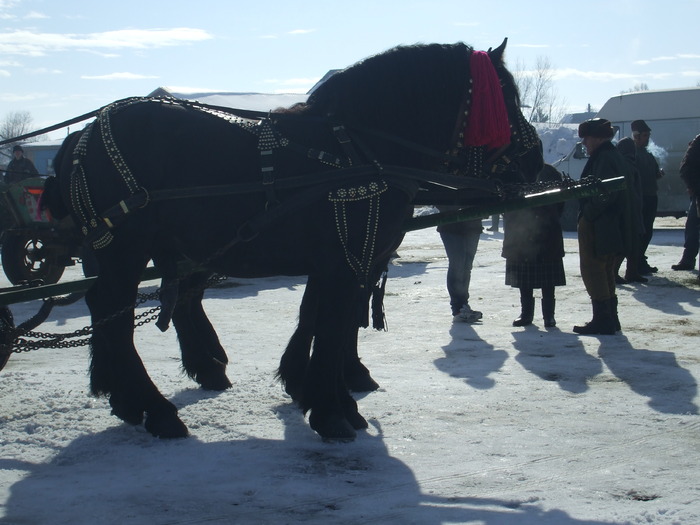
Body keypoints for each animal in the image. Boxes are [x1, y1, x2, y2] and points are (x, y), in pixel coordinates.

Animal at [45, 41, 540, 440]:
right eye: (506, 98)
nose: (535, 160)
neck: (359, 150)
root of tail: (82, 134)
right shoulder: (348, 262)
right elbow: (335, 327)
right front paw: (332, 411)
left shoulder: (340, 261)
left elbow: (322, 322)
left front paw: (323, 393)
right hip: (125, 250)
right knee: (116, 313)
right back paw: (157, 408)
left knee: (126, 311)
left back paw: (138, 396)